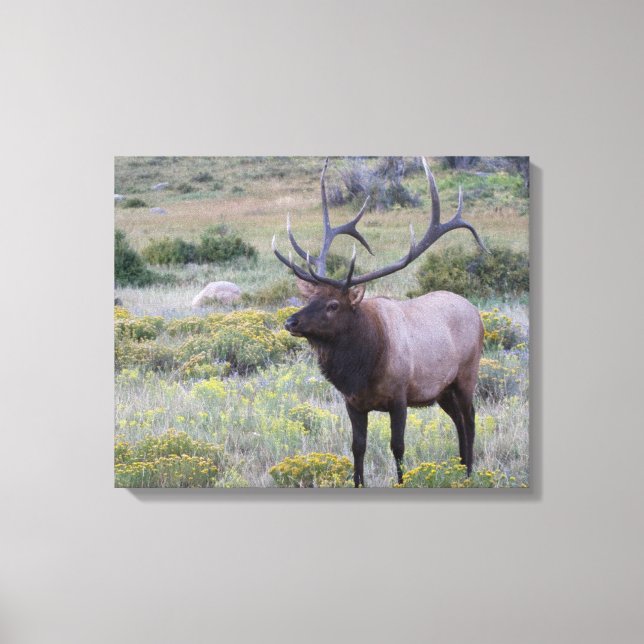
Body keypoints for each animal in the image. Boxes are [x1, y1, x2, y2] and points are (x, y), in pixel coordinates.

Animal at [272, 157, 487, 487]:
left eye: (333, 305)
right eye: (311, 298)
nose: (291, 322)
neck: (363, 368)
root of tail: (475, 312)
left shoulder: (400, 396)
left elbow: (397, 447)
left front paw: (401, 481)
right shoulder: (353, 402)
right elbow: (357, 447)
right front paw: (358, 482)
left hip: (466, 374)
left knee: (471, 418)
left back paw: (470, 472)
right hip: (442, 390)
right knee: (459, 422)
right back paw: (461, 467)